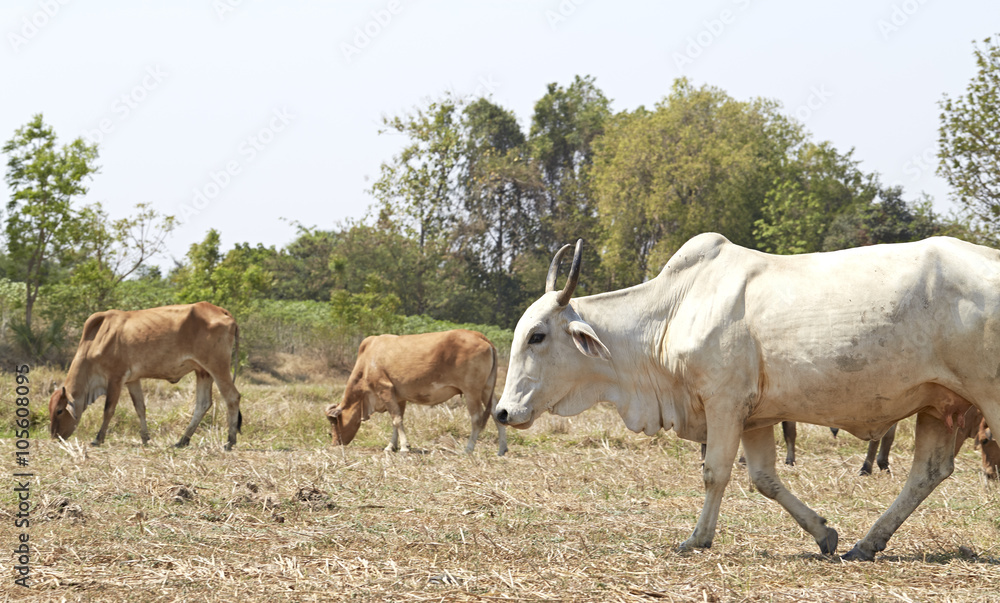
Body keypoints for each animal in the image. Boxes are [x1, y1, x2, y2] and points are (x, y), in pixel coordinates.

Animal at [48, 304, 242, 450]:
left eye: (59, 410)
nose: (54, 437)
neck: (97, 339)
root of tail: (222, 311)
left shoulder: (116, 378)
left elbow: (108, 410)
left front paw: (98, 438)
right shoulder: (133, 380)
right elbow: (140, 408)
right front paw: (145, 438)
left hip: (217, 367)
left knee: (232, 397)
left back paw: (229, 441)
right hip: (203, 371)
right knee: (203, 404)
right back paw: (182, 441)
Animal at [326, 332, 508, 456]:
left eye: (334, 423)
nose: (335, 443)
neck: (367, 360)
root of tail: (480, 336)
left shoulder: (385, 390)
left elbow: (396, 420)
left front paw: (404, 447)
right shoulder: (398, 398)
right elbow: (396, 421)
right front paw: (391, 446)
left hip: (472, 392)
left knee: (476, 418)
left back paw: (468, 449)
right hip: (486, 390)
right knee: (495, 413)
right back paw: (502, 449)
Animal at [496, 235, 1000, 560]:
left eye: (537, 335)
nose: (503, 411)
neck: (672, 311)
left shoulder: (724, 402)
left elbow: (715, 472)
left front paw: (697, 539)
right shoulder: (756, 417)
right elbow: (763, 479)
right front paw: (825, 535)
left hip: (988, 395)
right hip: (939, 404)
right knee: (928, 472)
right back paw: (868, 543)